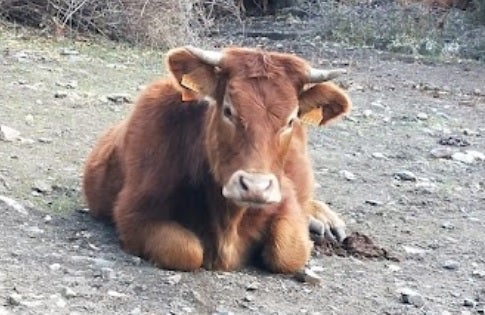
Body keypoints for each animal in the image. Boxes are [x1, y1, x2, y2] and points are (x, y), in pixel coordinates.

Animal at [83, 45, 352, 276]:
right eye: (228, 110)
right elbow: (187, 251)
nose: (254, 187)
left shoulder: (285, 199)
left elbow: (288, 253)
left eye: (290, 120)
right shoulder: (133, 214)